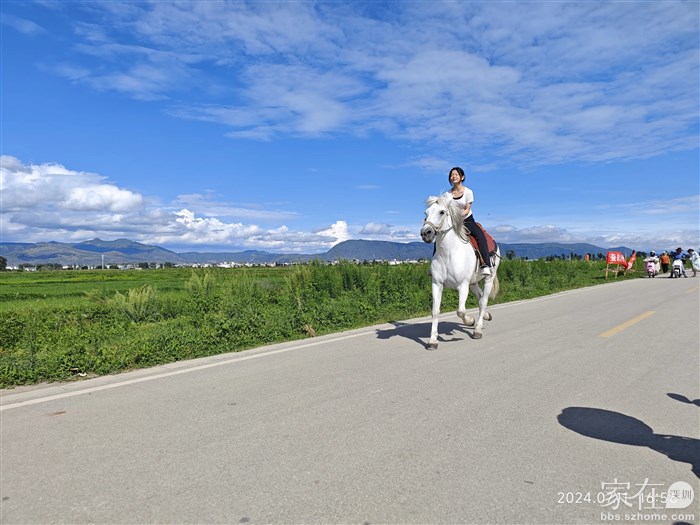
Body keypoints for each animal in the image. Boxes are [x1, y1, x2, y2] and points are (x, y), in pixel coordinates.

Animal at [420, 194, 500, 349]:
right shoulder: (437, 284)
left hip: (488, 278)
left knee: (484, 300)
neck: (448, 253)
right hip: (473, 283)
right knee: (480, 298)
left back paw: (477, 329)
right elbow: (435, 311)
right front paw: (432, 340)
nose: (425, 233)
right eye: (426, 213)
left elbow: (461, 311)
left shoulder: (462, 285)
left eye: (442, 212)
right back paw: (485, 316)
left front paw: (470, 321)